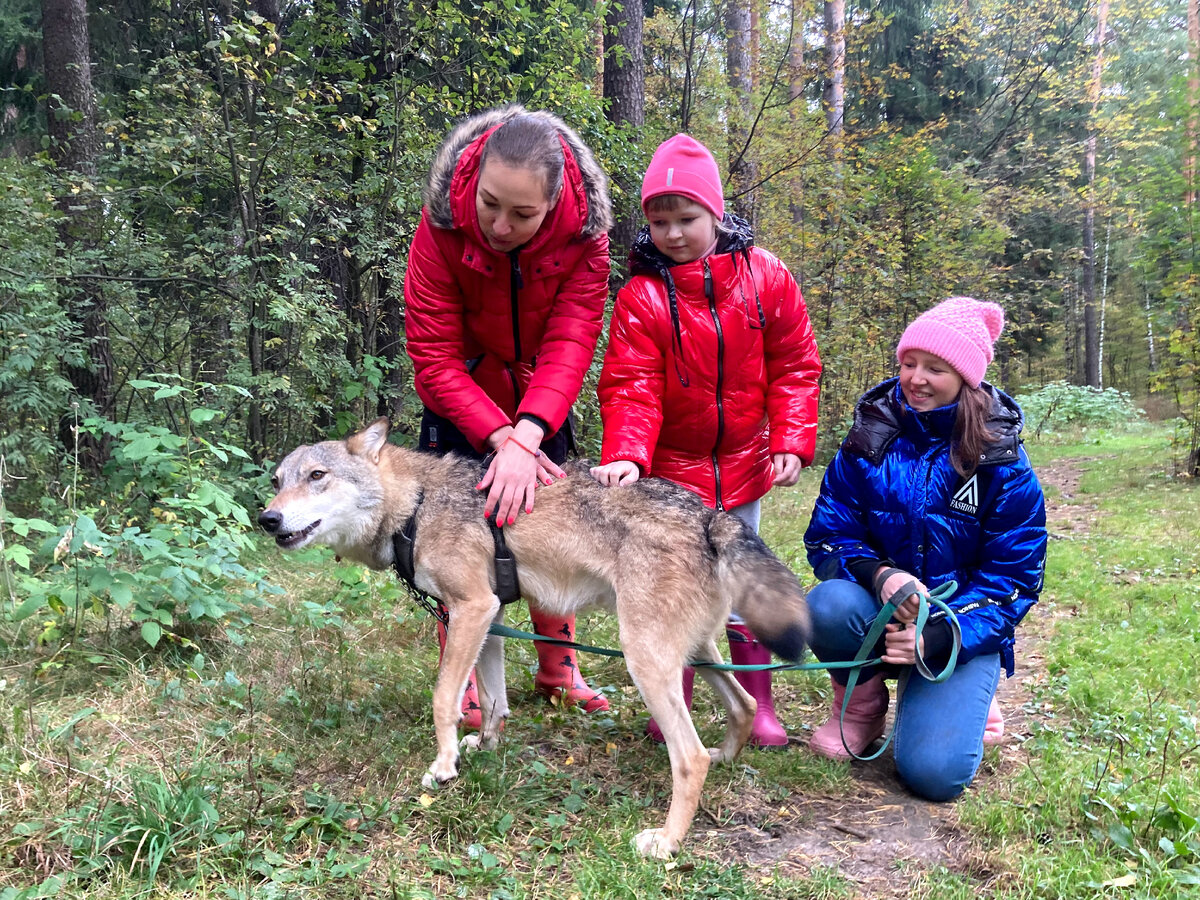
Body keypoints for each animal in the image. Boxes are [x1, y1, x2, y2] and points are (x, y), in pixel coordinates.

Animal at [258, 420, 811, 864]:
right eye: (277, 481)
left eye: (317, 476)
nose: (267, 519)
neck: (416, 505)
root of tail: (710, 515)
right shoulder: (490, 617)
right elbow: (493, 701)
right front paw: (482, 748)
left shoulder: (471, 609)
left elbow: (443, 699)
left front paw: (443, 767)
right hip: (694, 653)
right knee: (741, 705)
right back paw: (726, 759)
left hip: (646, 662)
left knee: (690, 758)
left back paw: (666, 843)